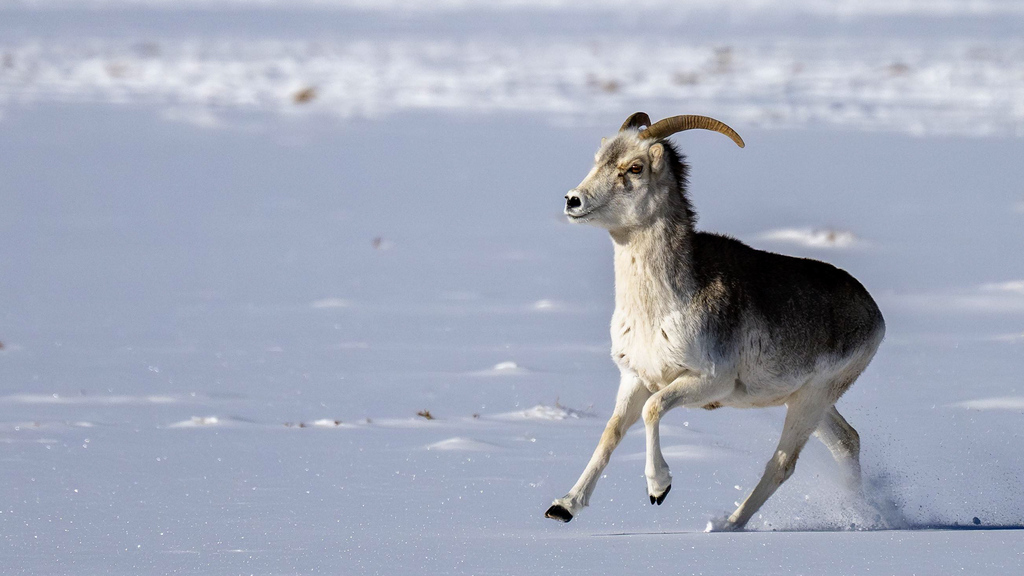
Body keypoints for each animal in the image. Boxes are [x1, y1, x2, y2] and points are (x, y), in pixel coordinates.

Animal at [544, 112, 885, 531]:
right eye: (598, 160)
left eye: (634, 167)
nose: (573, 201)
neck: (658, 311)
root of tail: (873, 313)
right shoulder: (635, 378)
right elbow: (612, 432)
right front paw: (564, 506)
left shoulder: (707, 382)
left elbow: (653, 410)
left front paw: (659, 489)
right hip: (808, 402)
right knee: (846, 441)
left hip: (811, 400)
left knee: (782, 464)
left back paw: (727, 524)